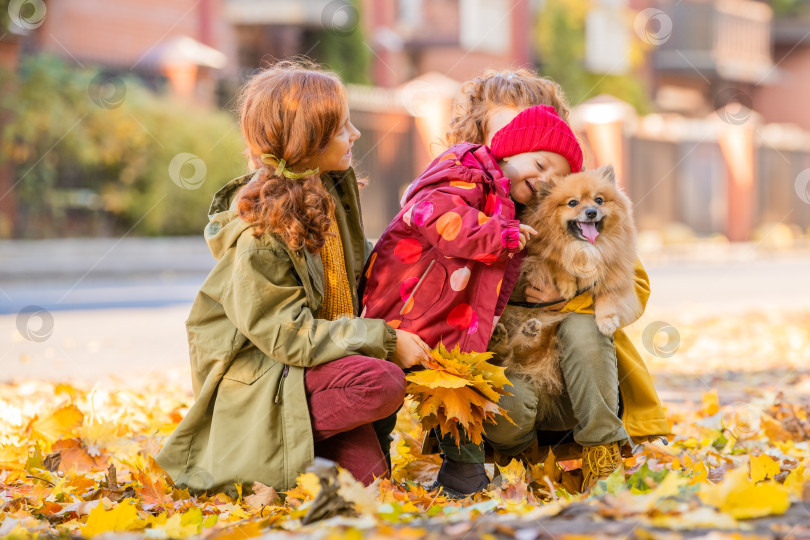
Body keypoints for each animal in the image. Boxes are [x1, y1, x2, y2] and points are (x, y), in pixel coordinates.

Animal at [490, 167, 640, 402]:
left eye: (599, 200)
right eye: (572, 203)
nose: (591, 212)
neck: (585, 249)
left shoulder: (617, 275)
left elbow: (609, 295)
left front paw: (606, 321)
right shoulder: (537, 256)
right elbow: (556, 262)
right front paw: (567, 282)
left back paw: (523, 334)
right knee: (499, 358)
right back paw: (500, 338)